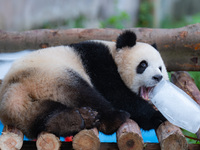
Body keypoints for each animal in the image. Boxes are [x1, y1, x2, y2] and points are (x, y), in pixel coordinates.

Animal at [0, 30, 168, 139]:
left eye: (160, 67)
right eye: (143, 65)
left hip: (29, 105)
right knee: (84, 93)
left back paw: (70, 120)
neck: (114, 53)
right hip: (53, 75)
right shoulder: (99, 62)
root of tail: (15, 85)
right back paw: (114, 119)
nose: (158, 77)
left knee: (38, 115)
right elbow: (118, 95)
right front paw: (158, 117)